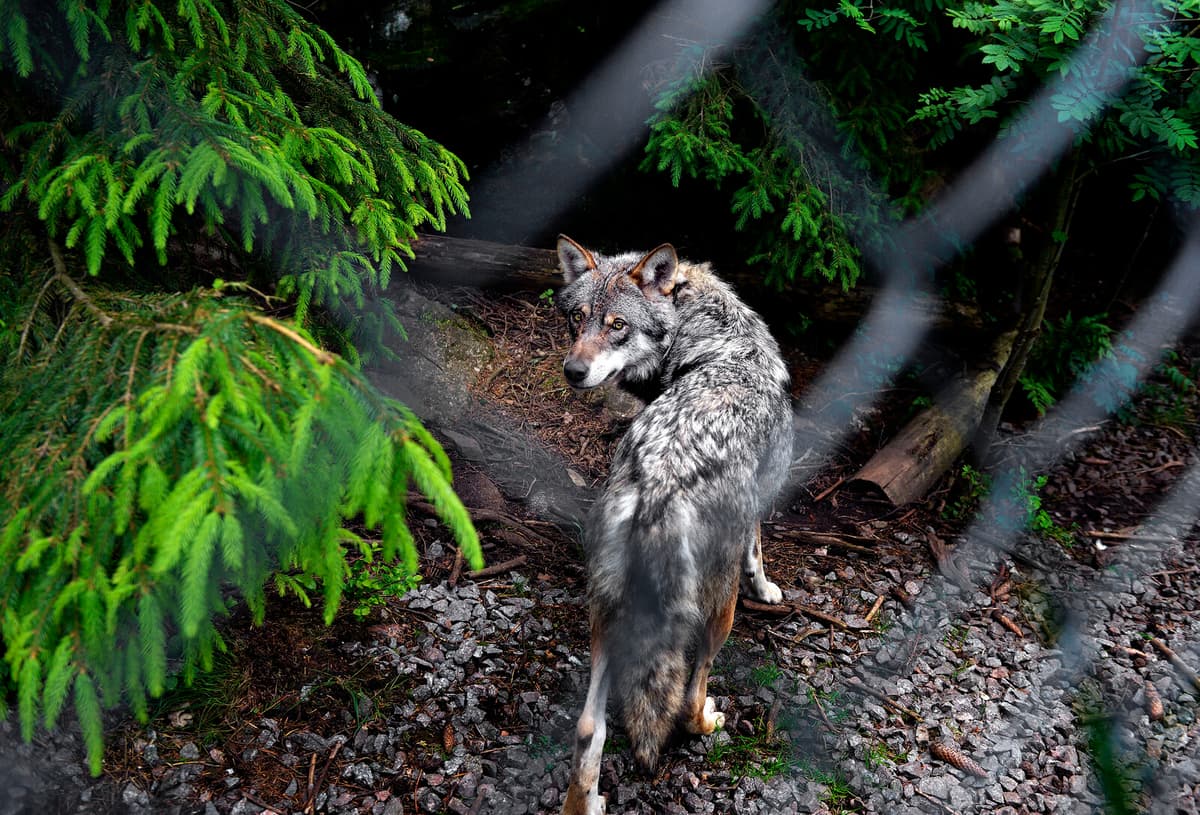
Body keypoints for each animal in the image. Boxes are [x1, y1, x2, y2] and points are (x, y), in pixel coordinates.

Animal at [554, 235, 794, 815]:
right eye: (577, 318)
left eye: (617, 325)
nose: (573, 371)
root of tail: (659, 490)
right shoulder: (759, 500)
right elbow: (758, 548)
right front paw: (768, 588)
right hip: (717, 615)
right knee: (686, 700)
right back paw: (709, 721)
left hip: (606, 617)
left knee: (590, 727)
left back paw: (586, 803)